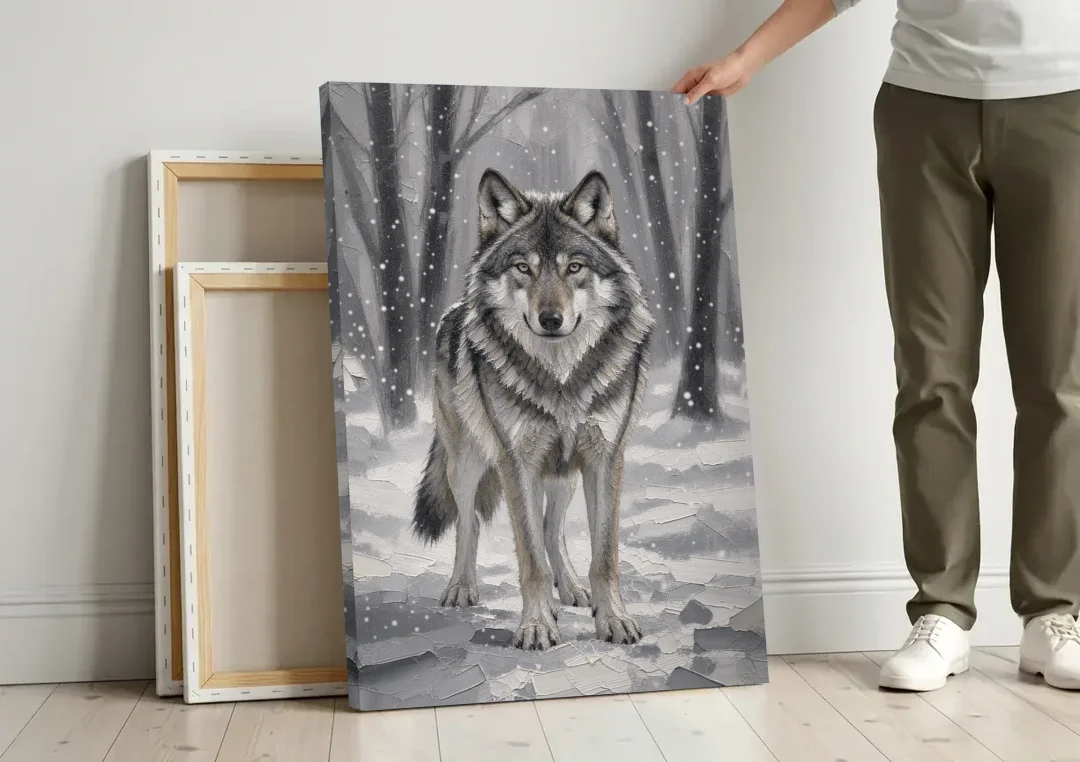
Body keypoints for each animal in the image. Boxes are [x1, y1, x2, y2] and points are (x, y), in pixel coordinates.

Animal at [411, 167, 654, 651]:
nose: (551, 319)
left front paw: (613, 620)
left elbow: (603, 555)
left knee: (551, 528)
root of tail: (453, 311)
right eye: (523, 267)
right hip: (467, 463)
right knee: (469, 523)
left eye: (574, 267)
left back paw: (573, 589)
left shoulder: (605, 458)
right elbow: (530, 559)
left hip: (562, 472)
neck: (560, 379)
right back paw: (461, 587)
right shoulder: (515, 461)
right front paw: (538, 625)